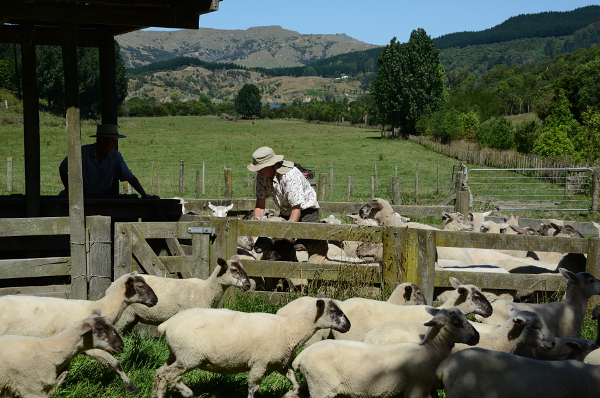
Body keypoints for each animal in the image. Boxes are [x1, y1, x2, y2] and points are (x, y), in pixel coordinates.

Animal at [0, 272, 158, 394]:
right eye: (140, 286)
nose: (155, 300)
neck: (103, 306)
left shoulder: (68, 350)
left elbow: (63, 372)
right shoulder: (91, 346)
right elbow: (115, 364)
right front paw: (132, 388)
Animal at [151, 298, 352, 398]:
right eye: (333, 311)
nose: (348, 326)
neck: (290, 330)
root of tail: (167, 325)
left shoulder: (279, 363)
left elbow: (293, 379)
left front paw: (293, 392)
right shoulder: (259, 363)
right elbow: (253, 388)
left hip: (175, 354)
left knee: (161, 373)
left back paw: (158, 396)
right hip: (189, 356)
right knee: (170, 375)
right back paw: (187, 393)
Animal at [288, 306, 480, 398]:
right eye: (457, 323)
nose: (476, 337)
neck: (430, 350)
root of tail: (302, 356)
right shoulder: (419, 391)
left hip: (314, 383)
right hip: (322, 387)